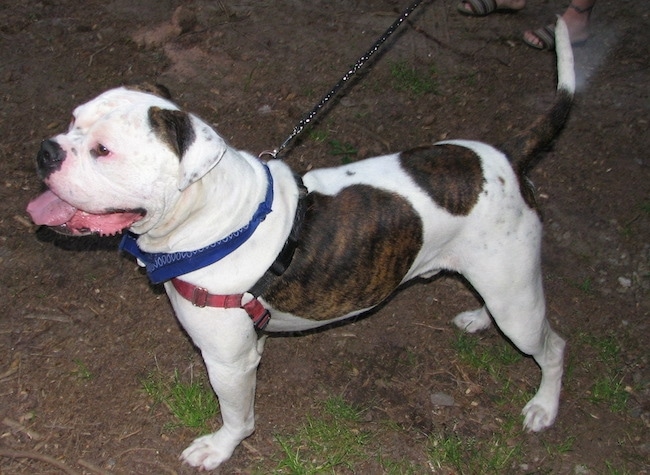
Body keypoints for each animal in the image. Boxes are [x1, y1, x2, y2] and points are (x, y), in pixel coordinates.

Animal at [26, 19, 572, 472]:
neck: (210, 218)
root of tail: (507, 158)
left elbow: (236, 416)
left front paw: (219, 448)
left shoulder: (228, 363)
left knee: (553, 347)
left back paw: (544, 407)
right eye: (72, 120)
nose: (46, 150)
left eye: (103, 150)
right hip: (502, 285)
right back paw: (479, 318)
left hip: (518, 305)